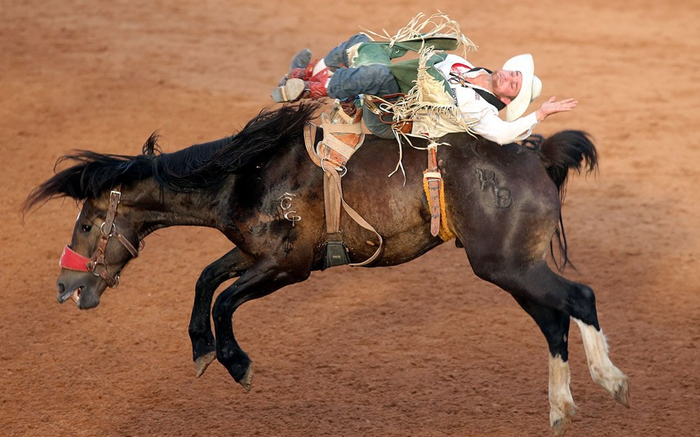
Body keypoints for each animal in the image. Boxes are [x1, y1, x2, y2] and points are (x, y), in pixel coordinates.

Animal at [26, 102, 628, 432]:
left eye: (86, 224)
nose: (63, 285)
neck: (245, 174)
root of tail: (536, 154)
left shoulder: (287, 267)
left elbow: (224, 300)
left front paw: (237, 364)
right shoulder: (255, 255)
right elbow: (206, 282)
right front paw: (201, 350)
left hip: (507, 266)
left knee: (579, 299)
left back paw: (611, 381)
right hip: (513, 269)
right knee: (553, 320)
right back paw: (560, 409)